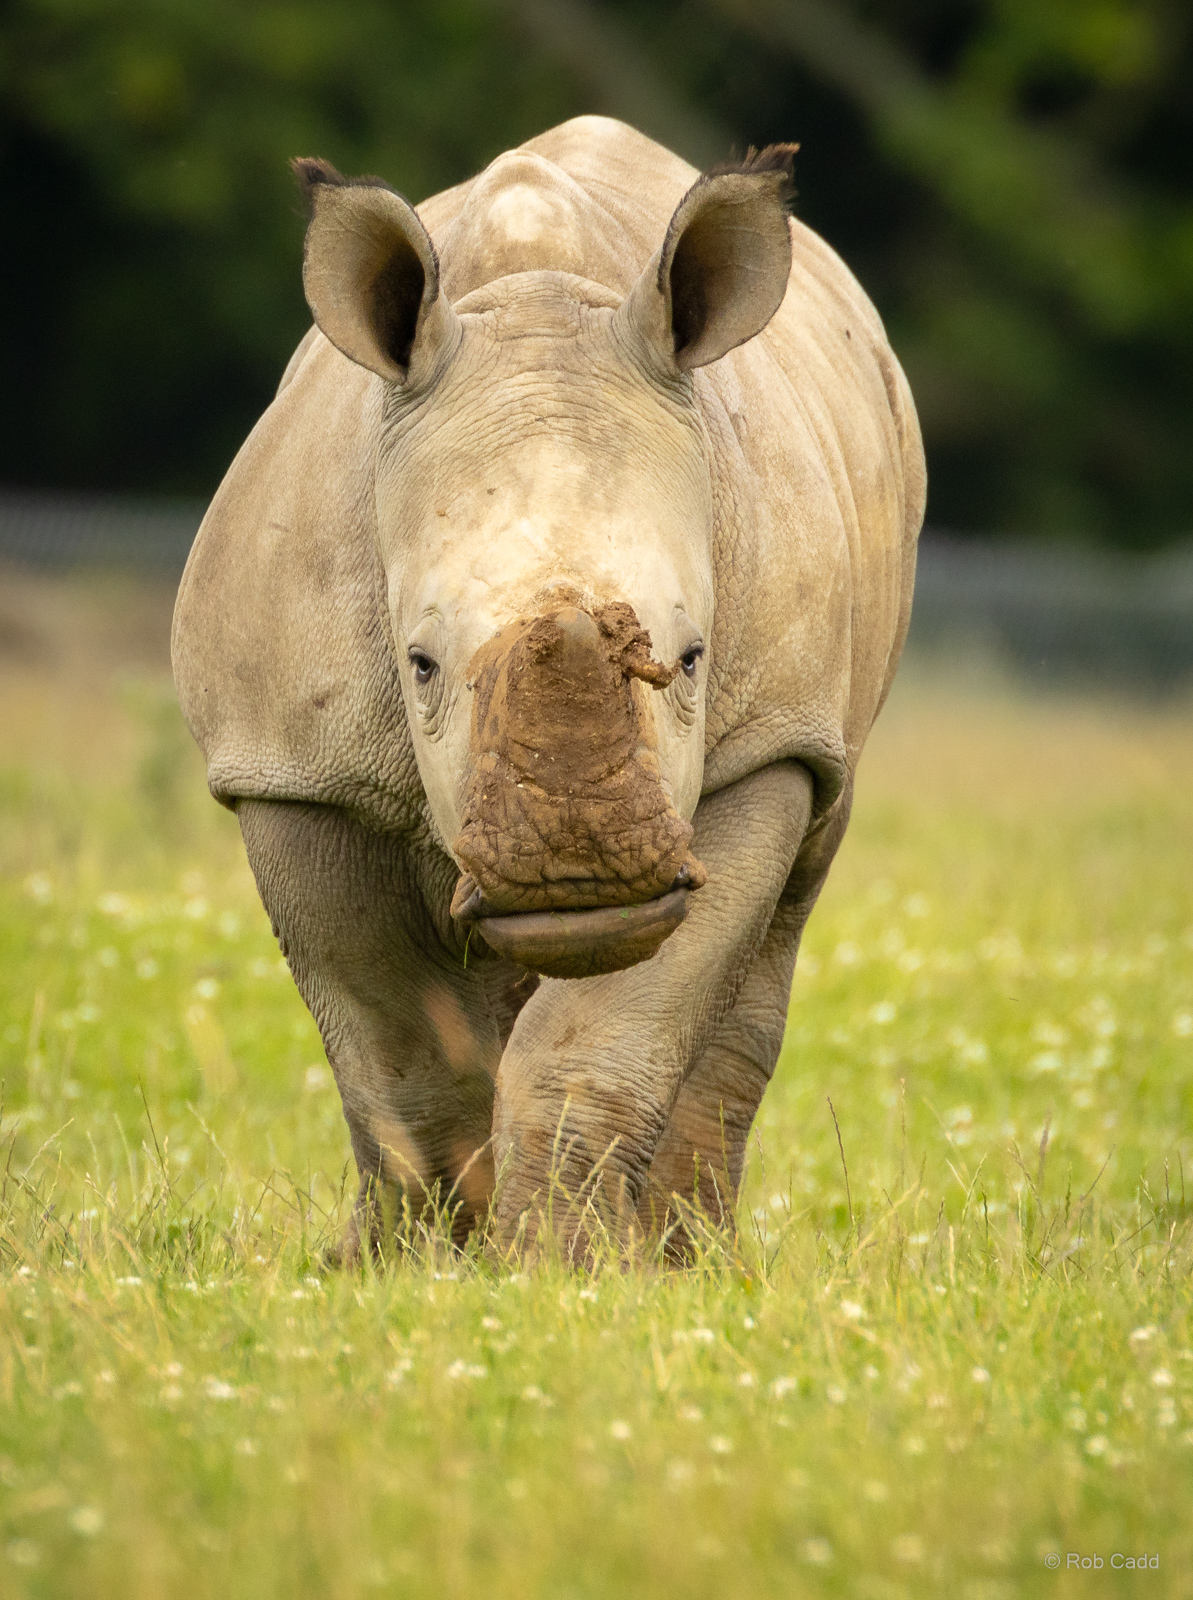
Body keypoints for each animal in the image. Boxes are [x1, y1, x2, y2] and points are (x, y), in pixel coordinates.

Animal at [172, 115, 924, 1260]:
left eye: (693, 656)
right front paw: (406, 1265)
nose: (576, 872)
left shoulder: (764, 742)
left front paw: (560, 1264)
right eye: (419, 664)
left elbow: (603, 1037)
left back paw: (690, 1261)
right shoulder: (292, 770)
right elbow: (393, 1044)